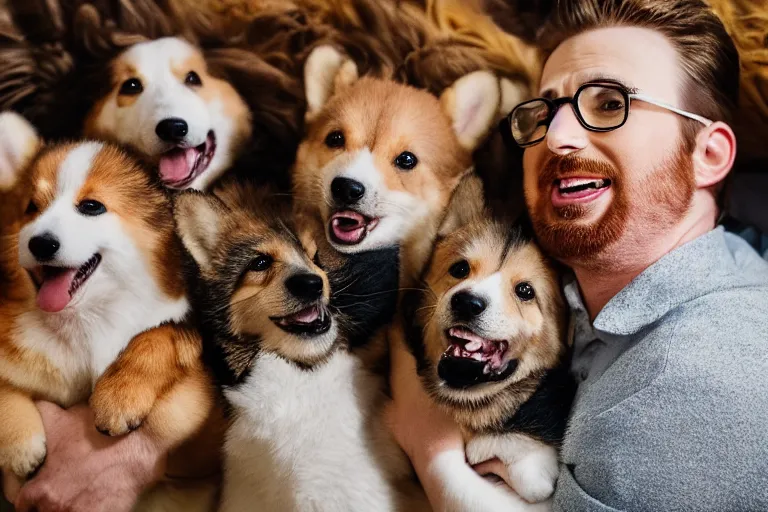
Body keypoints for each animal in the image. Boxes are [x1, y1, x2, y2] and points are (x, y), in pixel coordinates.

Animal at [0, 112, 222, 512]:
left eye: (91, 207)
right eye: (30, 208)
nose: (40, 243)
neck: (82, 323)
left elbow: (161, 332)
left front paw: (119, 395)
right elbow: (4, 384)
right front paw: (19, 441)